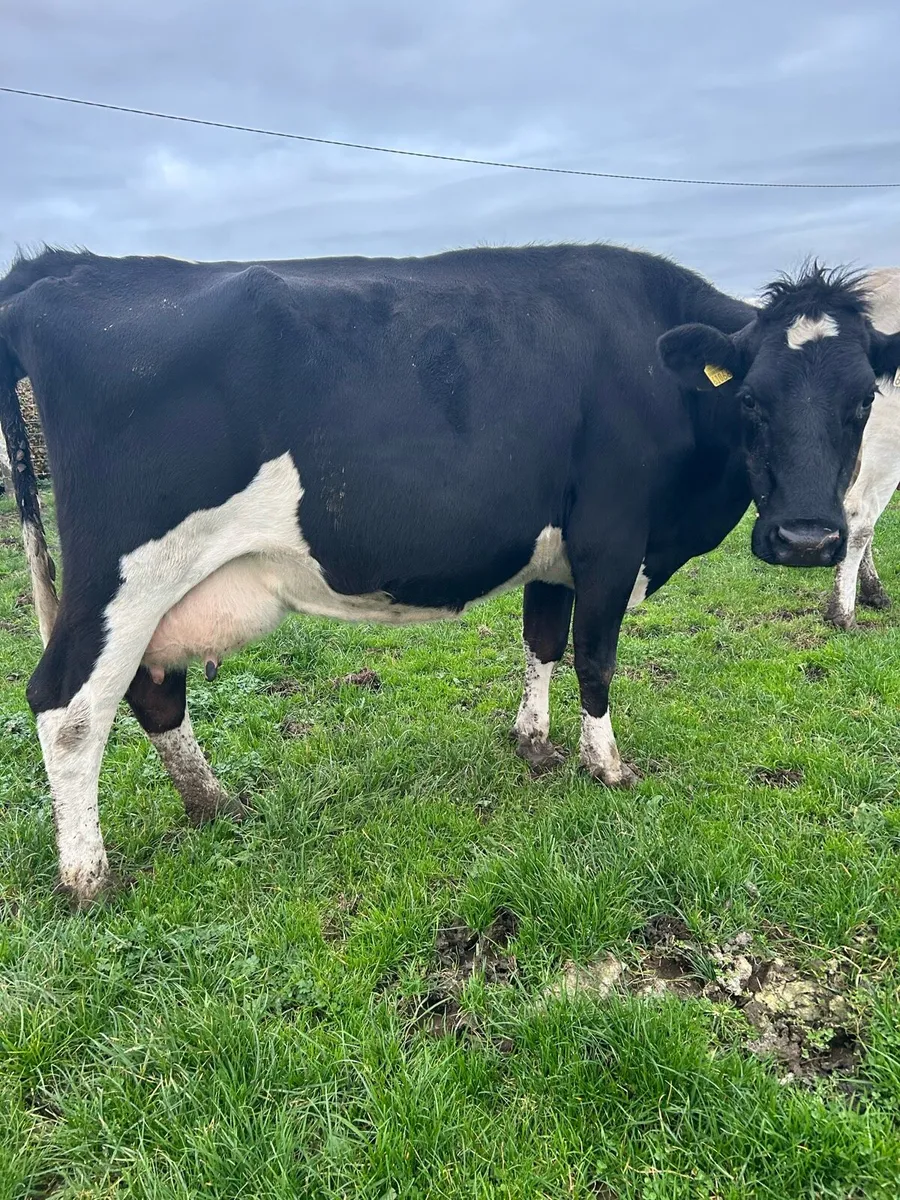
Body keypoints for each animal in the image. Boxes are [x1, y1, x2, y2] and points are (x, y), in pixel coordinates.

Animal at [1, 245, 898, 907]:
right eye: (750, 400)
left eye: (862, 401)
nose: (809, 538)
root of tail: (69, 267)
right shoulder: (611, 539)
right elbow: (595, 657)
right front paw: (605, 766)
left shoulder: (557, 551)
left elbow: (543, 640)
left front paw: (532, 742)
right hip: (124, 573)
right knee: (68, 706)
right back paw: (88, 877)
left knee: (152, 691)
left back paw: (215, 804)